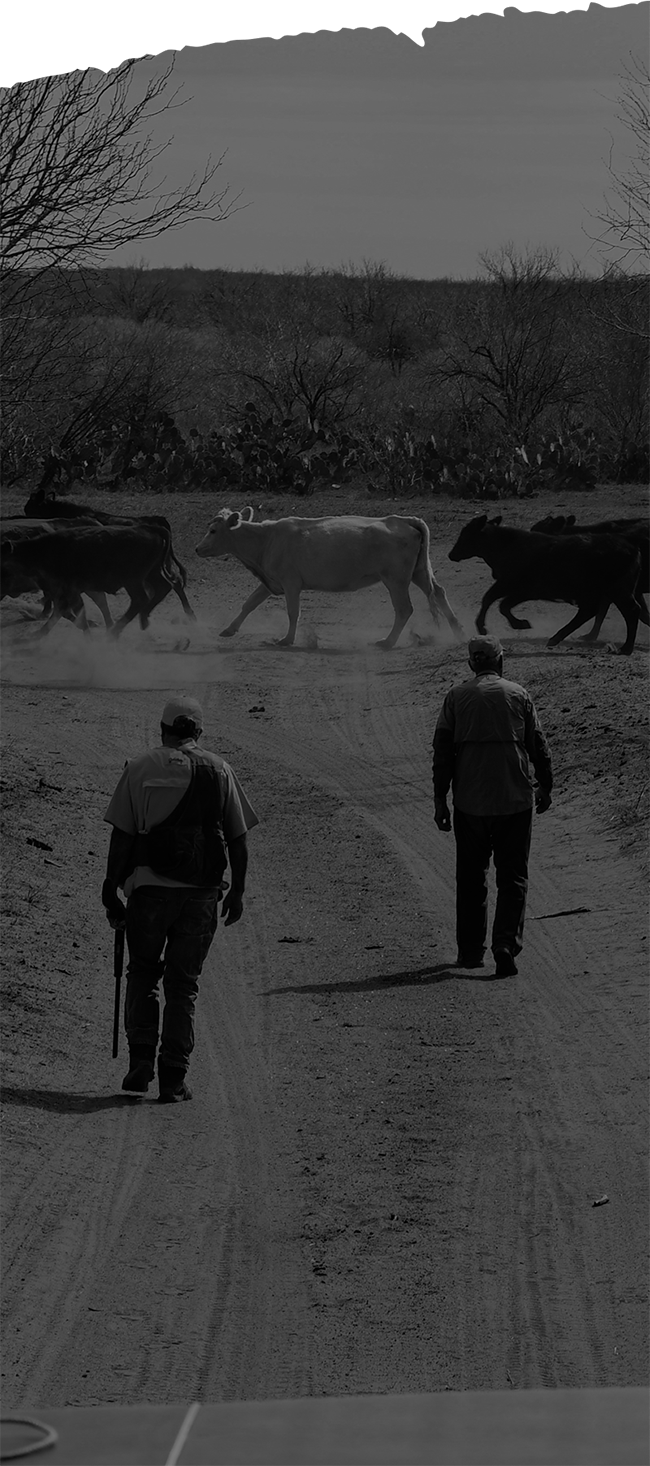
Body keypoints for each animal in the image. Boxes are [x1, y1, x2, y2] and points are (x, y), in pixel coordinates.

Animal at [196, 510, 466, 647]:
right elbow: (249, 603)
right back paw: (459, 633)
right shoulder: (271, 582)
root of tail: (403, 520)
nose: (197, 549)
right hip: (419, 572)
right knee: (438, 593)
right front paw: (229, 629)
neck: (266, 539)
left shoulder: (291, 583)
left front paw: (287, 639)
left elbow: (293, 612)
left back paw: (388, 641)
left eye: (213, 530)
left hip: (396, 579)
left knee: (404, 609)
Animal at [448, 516, 650, 653]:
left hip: (618, 591)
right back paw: (557, 638)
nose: (451, 554)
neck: (508, 546)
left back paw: (626, 647)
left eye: (466, 535)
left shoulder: (516, 587)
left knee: (631, 611)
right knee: (590, 612)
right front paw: (517, 623)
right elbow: (497, 602)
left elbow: (495, 602)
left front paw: (494, 626)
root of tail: (632, 547)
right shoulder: (518, 589)